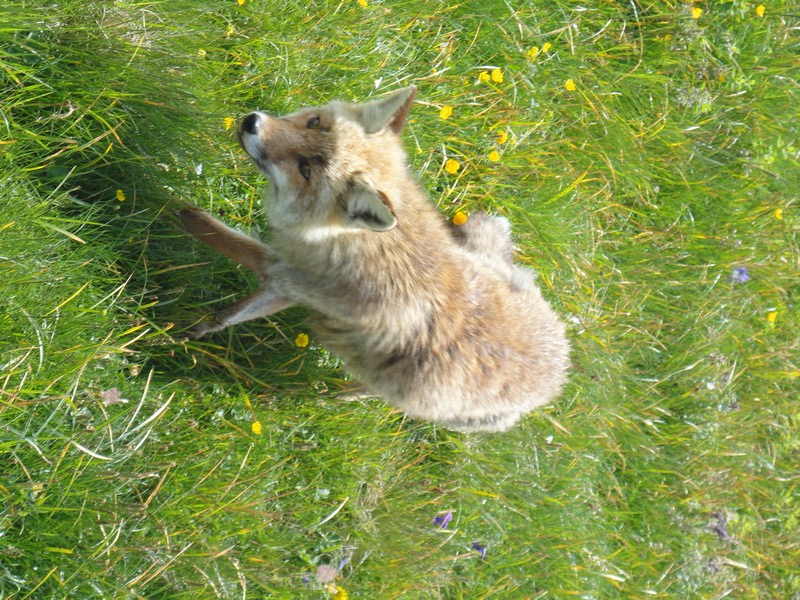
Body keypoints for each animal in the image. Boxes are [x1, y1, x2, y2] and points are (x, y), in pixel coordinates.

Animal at [181, 85, 568, 432]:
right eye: (314, 122)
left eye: (305, 170)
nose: (251, 122)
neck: (360, 243)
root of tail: (563, 366)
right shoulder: (289, 283)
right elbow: (227, 314)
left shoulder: (287, 277)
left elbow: (213, 237)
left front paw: (174, 210)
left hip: (410, 398)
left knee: (369, 394)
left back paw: (335, 397)